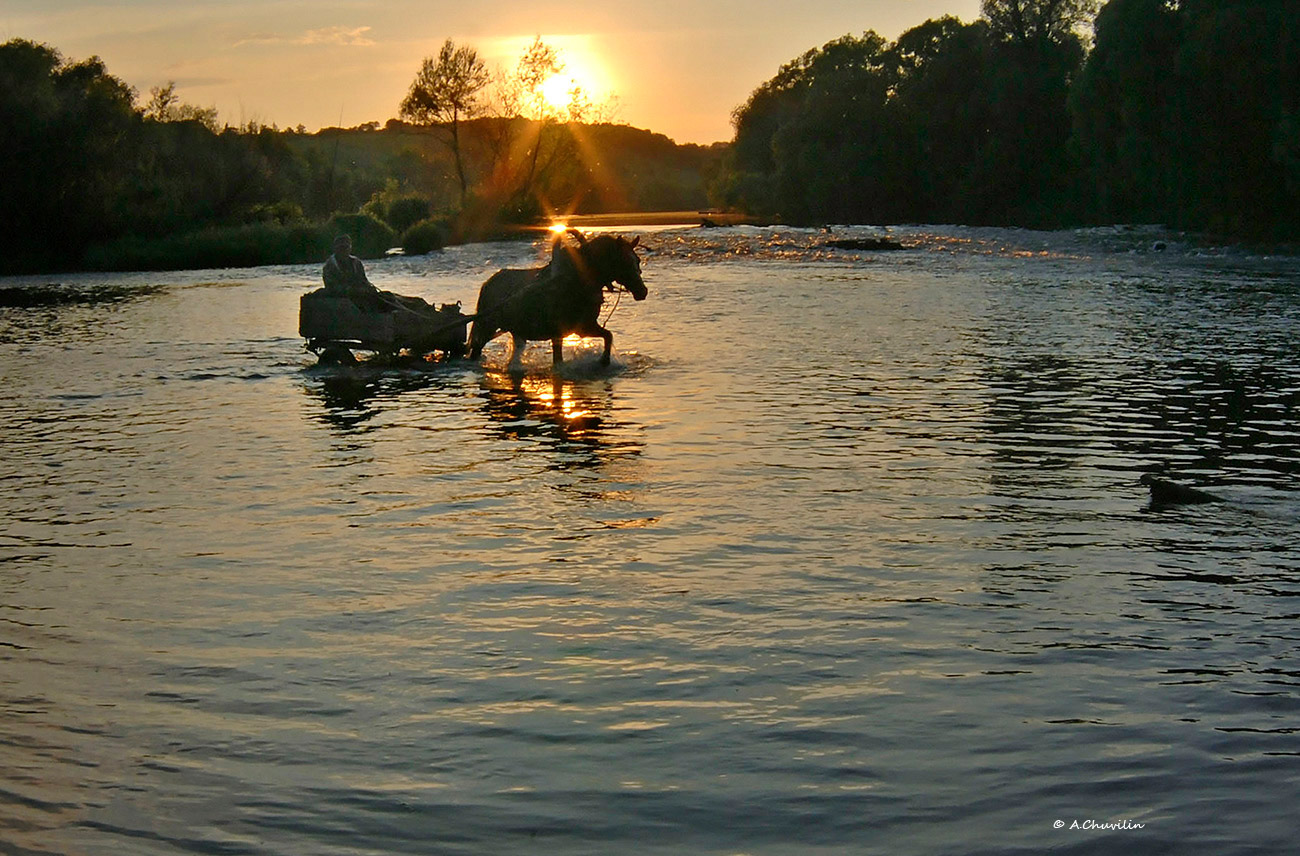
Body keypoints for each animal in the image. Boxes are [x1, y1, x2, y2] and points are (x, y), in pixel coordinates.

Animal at [470, 230, 647, 369]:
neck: (576, 281)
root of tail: (488, 283)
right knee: (475, 350)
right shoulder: (558, 333)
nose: (642, 291)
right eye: (623, 261)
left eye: (637, 260)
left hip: (516, 330)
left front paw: (604, 360)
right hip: (487, 328)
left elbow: (608, 335)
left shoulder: (584, 327)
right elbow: (558, 362)